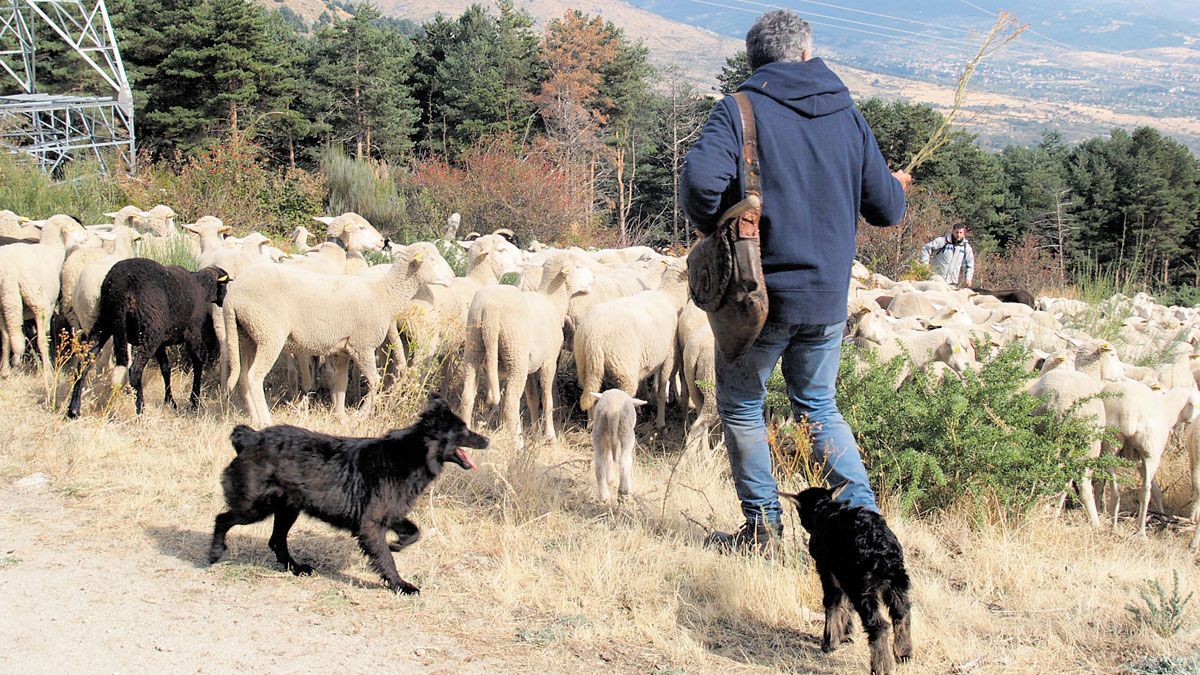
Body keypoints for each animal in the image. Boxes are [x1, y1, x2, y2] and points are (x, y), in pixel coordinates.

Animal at [66, 257, 230, 415]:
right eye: (225, 286)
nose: (223, 301)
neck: (202, 288)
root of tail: (120, 284)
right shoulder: (193, 333)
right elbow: (198, 361)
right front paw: (195, 401)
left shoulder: (161, 343)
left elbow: (165, 368)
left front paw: (170, 401)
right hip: (150, 332)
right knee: (135, 370)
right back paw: (140, 410)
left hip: (104, 323)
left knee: (84, 363)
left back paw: (73, 409)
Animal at [208, 393, 489, 593]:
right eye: (463, 430)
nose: (488, 440)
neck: (412, 453)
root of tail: (250, 438)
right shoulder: (371, 524)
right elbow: (386, 559)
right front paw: (400, 585)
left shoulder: (389, 513)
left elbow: (414, 532)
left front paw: (398, 544)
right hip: (255, 508)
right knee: (223, 519)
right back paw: (214, 553)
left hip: (287, 509)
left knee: (276, 540)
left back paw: (295, 568)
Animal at [223, 240, 451, 425]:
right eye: (432, 259)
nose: (451, 277)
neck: (382, 295)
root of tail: (233, 296)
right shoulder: (362, 346)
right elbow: (375, 382)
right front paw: (360, 415)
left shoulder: (343, 350)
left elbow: (341, 383)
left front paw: (341, 417)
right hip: (269, 334)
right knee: (254, 377)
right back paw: (265, 422)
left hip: (248, 336)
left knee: (243, 377)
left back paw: (253, 419)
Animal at [777, 480, 907, 667]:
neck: (823, 510)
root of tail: (882, 549)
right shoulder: (841, 575)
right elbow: (846, 606)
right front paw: (846, 635)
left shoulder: (827, 572)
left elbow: (831, 604)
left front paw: (829, 642)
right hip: (897, 581)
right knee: (902, 613)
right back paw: (904, 653)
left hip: (861, 586)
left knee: (879, 626)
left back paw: (881, 667)